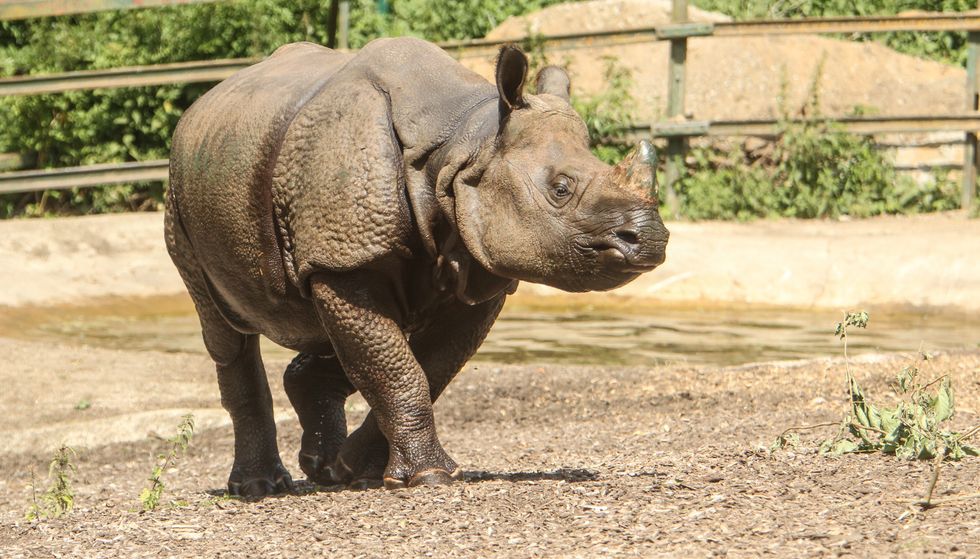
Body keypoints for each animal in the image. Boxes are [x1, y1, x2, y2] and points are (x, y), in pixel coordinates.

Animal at [165, 37, 668, 496]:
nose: (650, 238)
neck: (464, 149)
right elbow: (397, 368)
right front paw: (430, 477)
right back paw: (259, 487)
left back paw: (325, 470)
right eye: (561, 189)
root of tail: (199, 105)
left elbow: (425, 365)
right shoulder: (344, 261)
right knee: (225, 331)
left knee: (323, 328)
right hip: (181, 197)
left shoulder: (475, 264)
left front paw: (360, 470)